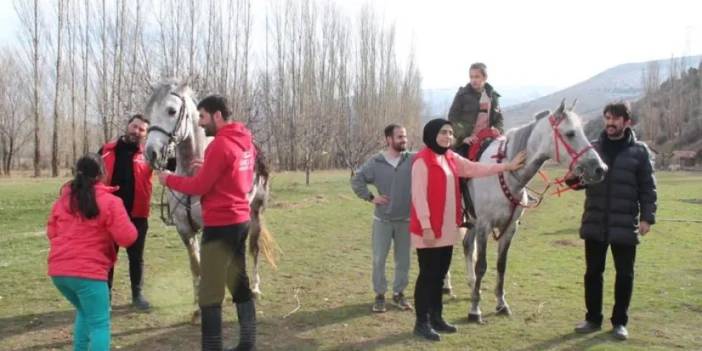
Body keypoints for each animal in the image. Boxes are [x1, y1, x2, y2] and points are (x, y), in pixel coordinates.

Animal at [464, 99, 608, 324]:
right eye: (570, 133)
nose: (600, 168)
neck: (505, 173)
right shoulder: (484, 226)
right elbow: (482, 266)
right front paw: (474, 310)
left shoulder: (509, 229)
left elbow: (501, 265)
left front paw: (501, 304)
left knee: (467, 246)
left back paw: (471, 286)